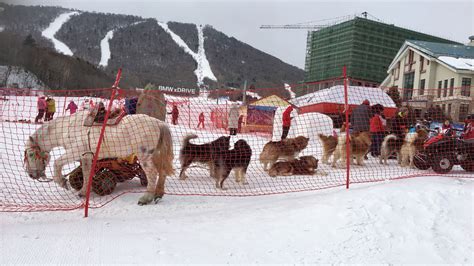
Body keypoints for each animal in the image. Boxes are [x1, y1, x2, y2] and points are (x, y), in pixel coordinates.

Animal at [23, 110, 174, 206]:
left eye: (31, 154)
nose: (31, 175)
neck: (67, 128)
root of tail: (158, 123)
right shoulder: (86, 157)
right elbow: (86, 173)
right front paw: (83, 192)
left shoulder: (75, 152)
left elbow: (57, 163)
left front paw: (62, 182)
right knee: (162, 172)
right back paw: (158, 194)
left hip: (144, 156)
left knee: (152, 174)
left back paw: (146, 198)